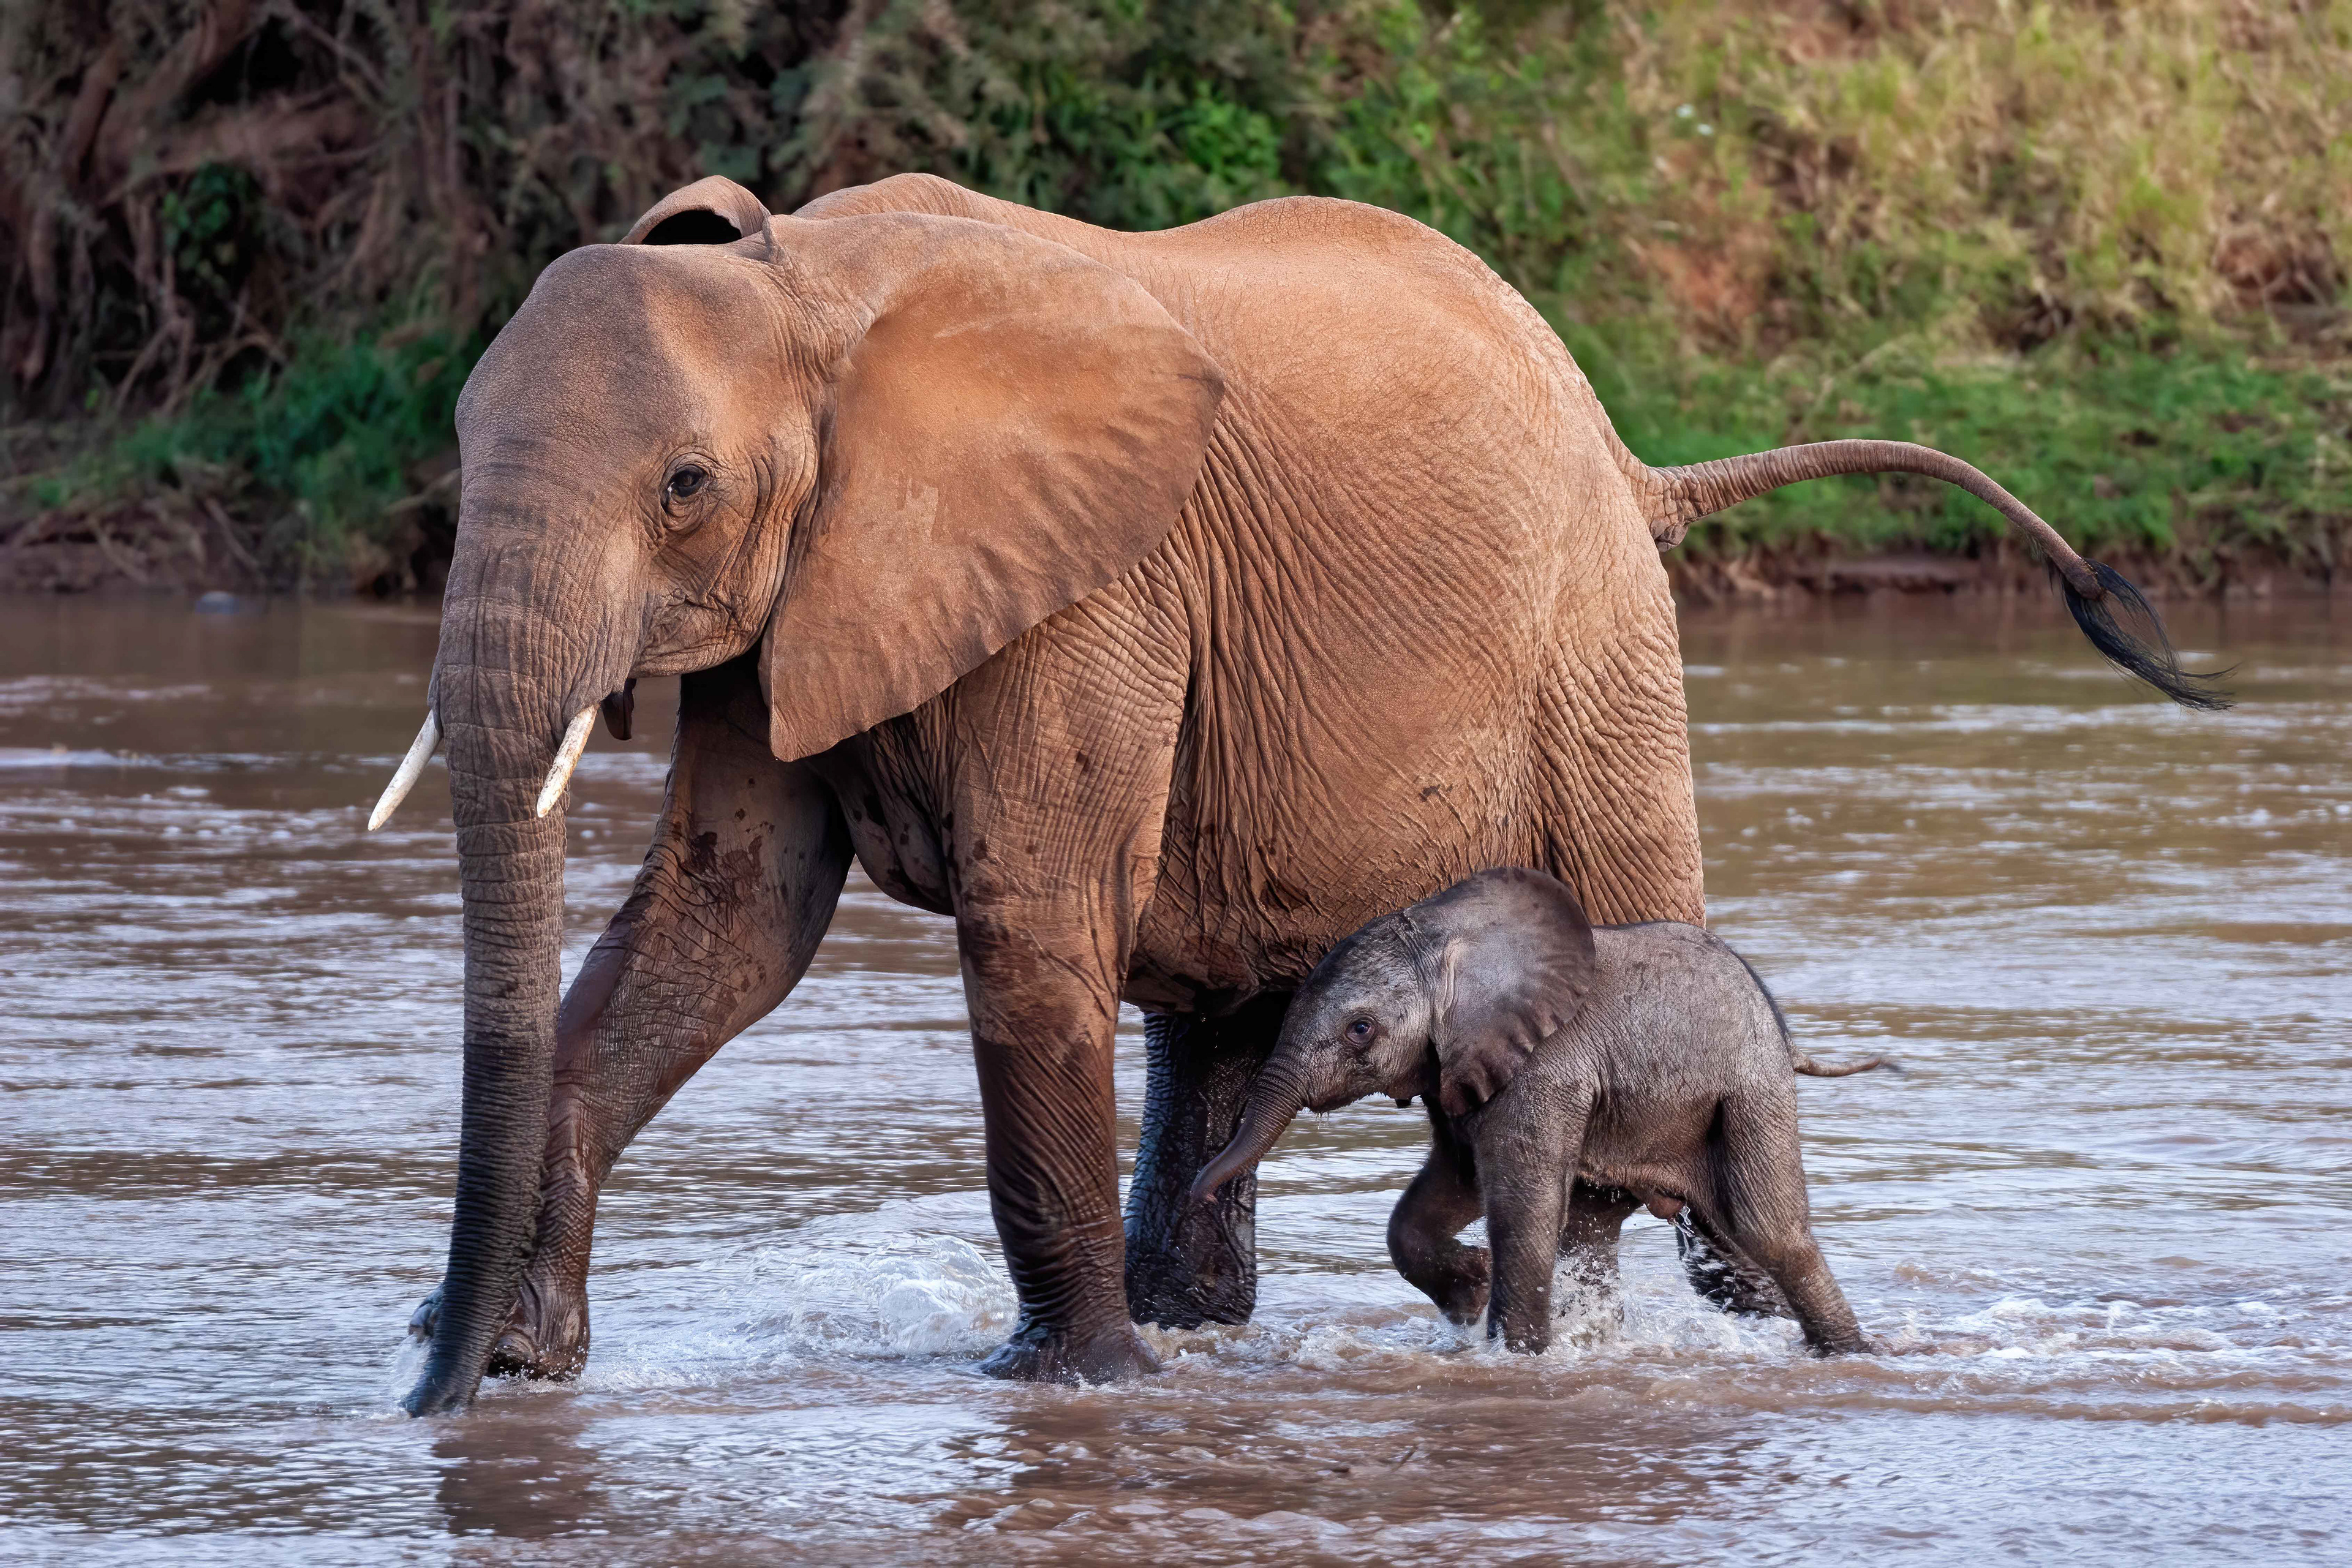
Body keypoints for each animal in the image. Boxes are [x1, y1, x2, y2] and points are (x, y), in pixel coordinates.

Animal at [1189, 868, 1886, 1355]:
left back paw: (1848, 1354)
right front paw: (1470, 1291)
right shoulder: (1457, 1067)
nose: (1200, 1192)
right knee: (1607, 1233)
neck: (1449, 931)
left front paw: (1514, 1353)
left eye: (1361, 1030)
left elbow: (1520, 1204)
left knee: (1769, 1232)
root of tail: (1783, 1029)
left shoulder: (1543, 1069)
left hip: (1749, 1087)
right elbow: (1450, 1186)